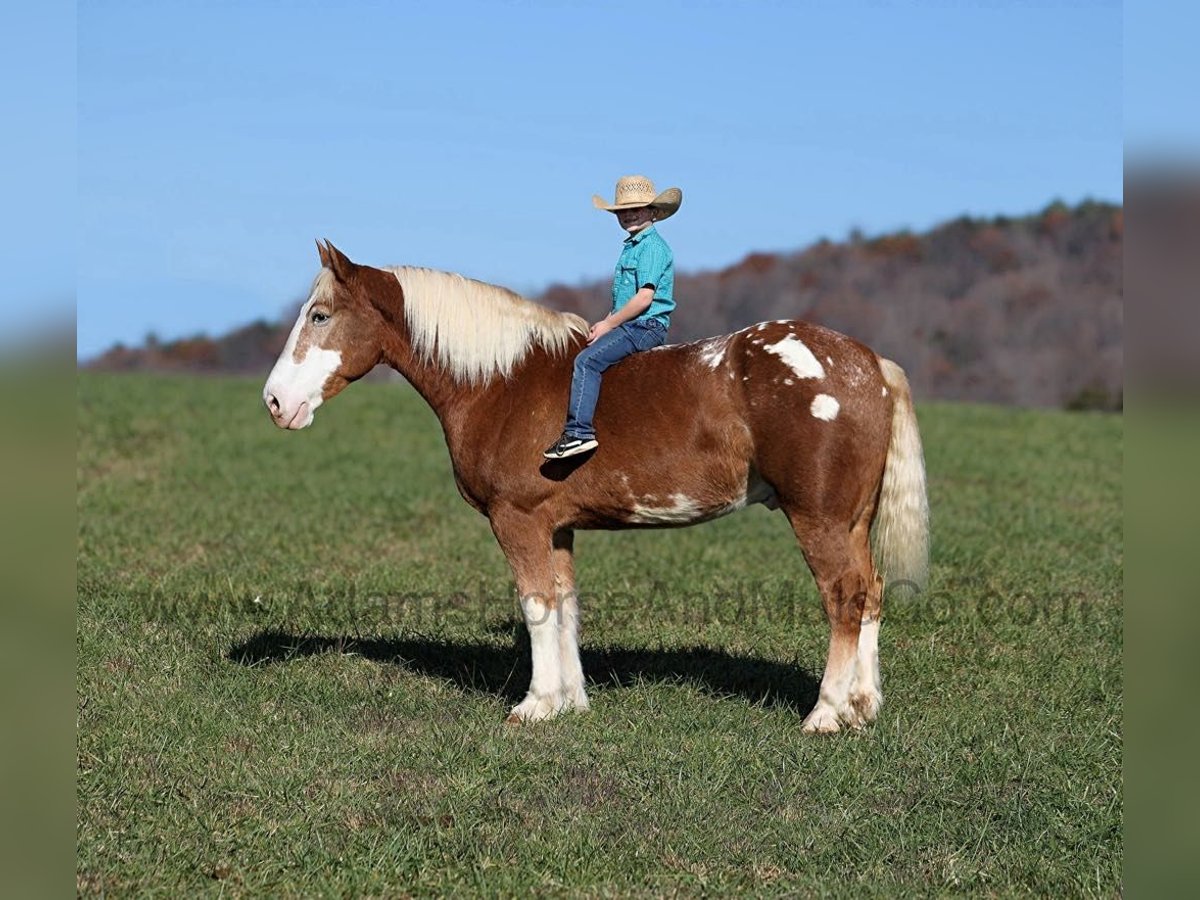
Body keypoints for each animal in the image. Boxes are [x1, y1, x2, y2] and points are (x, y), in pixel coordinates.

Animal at [267, 240, 931, 734]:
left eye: (320, 316)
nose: (275, 402)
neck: (503, 382)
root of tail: (868, 363)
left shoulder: (518, 520)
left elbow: (536, 604)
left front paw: (534, 706)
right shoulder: (555, 527)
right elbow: (564, 607)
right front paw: (570, 702)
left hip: (818, 518)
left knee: (844, 597)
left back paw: (825, 713)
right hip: (853, 520)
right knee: (871, 593)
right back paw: (863, 707)